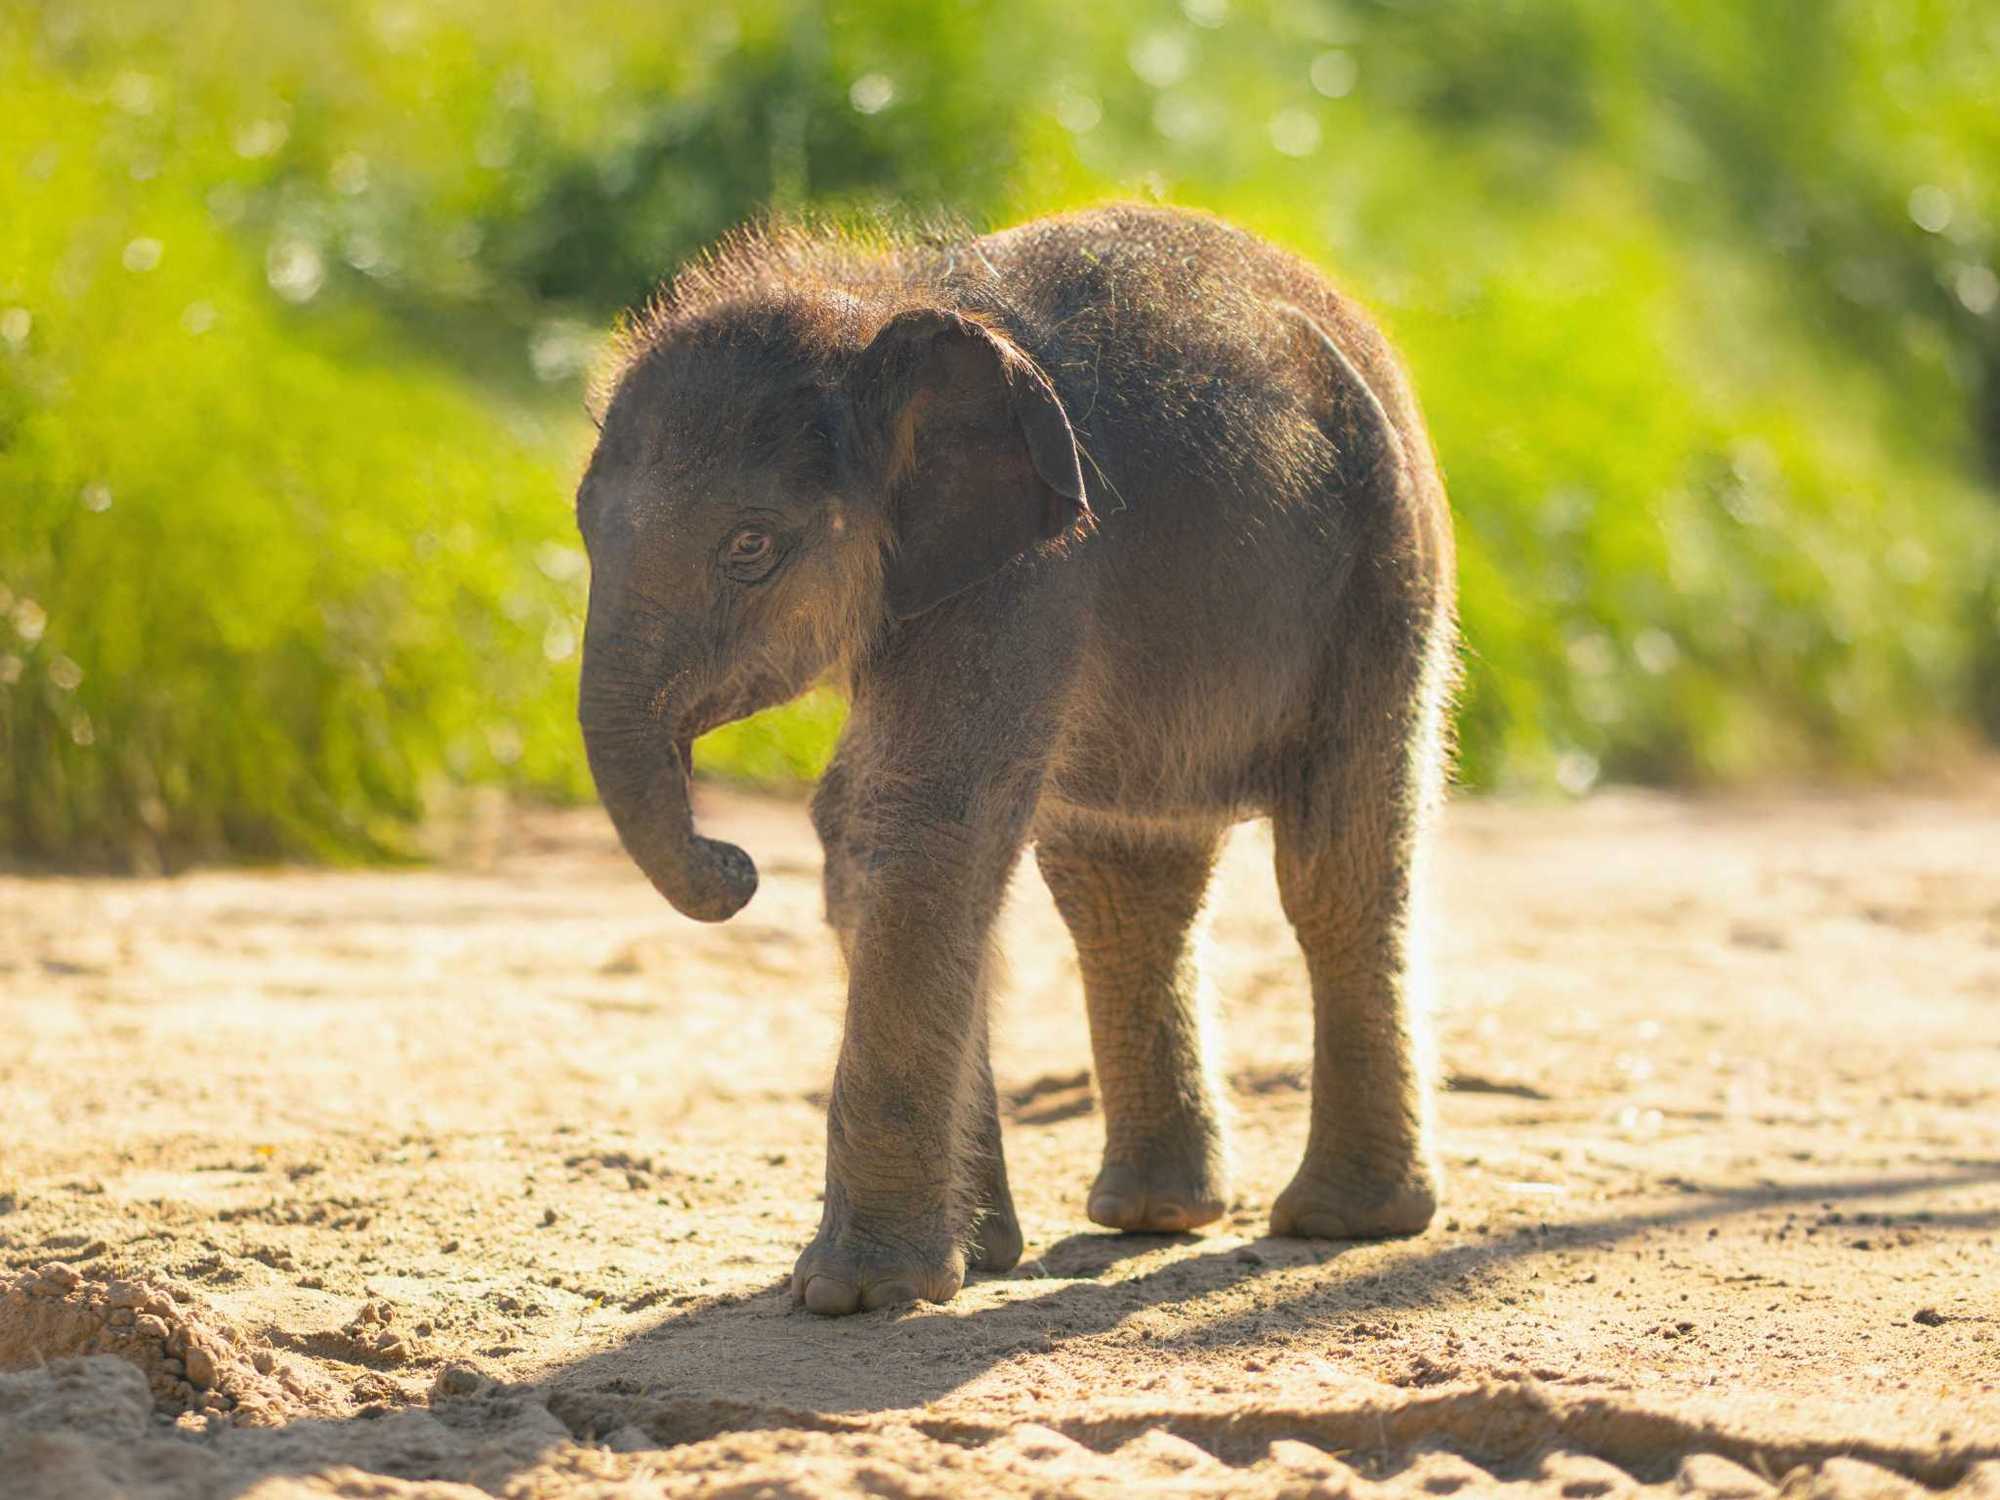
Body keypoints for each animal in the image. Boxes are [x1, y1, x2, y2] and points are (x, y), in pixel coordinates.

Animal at [574, 203, 1457, 1317]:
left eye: (749, 549)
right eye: (579, 529)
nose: (733, 865)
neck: (879, 313)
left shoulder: (1036, 570)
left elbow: (921, 821)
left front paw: (857, 1296)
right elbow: (859, 829)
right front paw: (974, 1258)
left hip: (1388, 575)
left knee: (1337, 865)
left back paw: (1339, 1224)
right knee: (1122, 889)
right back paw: (1152, 1214)